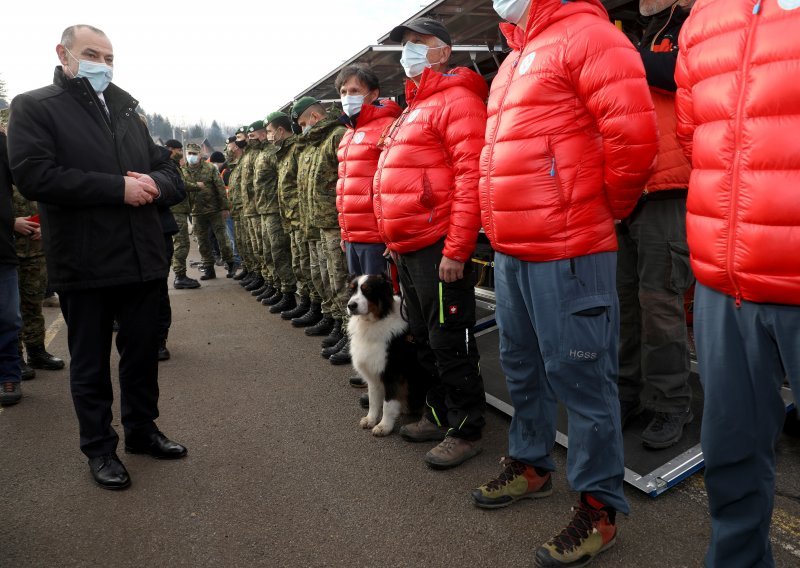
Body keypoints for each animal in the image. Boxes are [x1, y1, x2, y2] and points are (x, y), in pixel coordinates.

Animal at [346, 272, 428, 438]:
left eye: (368, 290)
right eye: (351, 290)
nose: (351, 305)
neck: (373, 322)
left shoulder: (392, 373)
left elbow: (388, 404)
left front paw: (384, 426)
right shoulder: (373, 372)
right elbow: (373, 400)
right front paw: (370, 420)